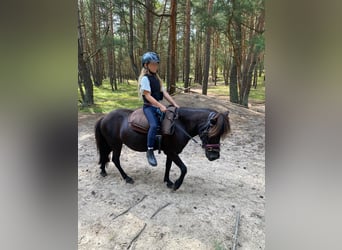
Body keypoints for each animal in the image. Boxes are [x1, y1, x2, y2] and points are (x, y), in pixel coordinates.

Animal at [95, 106, 231, 190]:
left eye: (220, 134)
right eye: (212, 132)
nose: (214, 156)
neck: (180, 125)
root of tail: (104, 117)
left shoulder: (170, 152)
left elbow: (168, 166)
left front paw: (168, 181)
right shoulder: (172, 152)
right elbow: (184, 168)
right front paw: (176, 185)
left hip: (110, 144)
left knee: (104, 155)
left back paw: (103, 171)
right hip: (116, 145)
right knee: (115, 160)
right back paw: (127, 178)